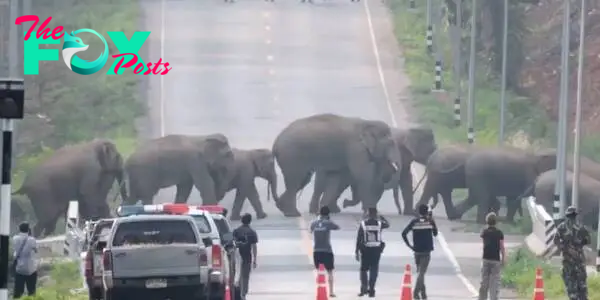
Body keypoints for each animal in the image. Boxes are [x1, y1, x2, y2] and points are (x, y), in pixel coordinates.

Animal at [272, 113, 404, 217]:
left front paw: (324, 211)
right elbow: (362, 176)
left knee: (301, 181)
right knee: (295, 181)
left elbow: (334, 178)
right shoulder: (355, 149)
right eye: (391, 143)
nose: (393, 166)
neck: (366, 123)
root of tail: (275, 143)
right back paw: (293, 214)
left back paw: (282, 207)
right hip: (291, 156)